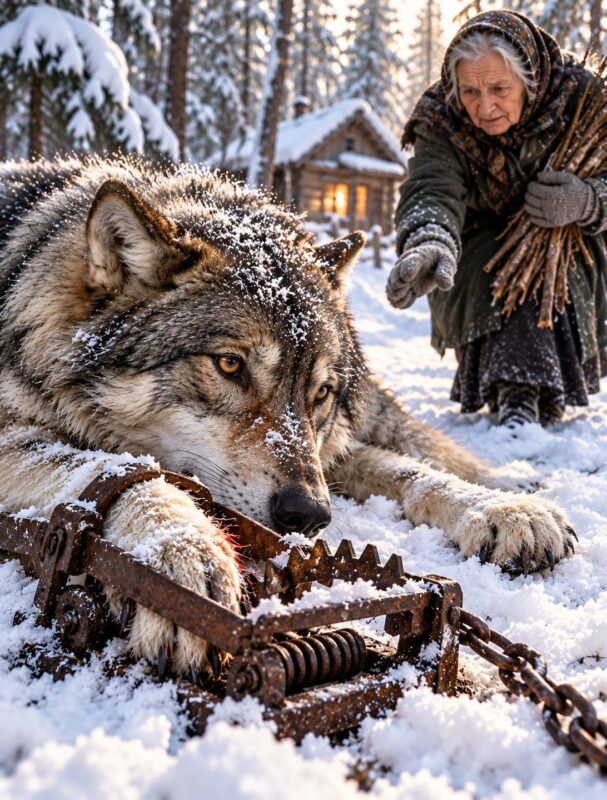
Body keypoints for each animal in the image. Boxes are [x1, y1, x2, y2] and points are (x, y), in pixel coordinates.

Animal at [0, 157, 575, 675]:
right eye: (230, 365)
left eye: (319, 393)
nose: (309, 515)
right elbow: (109, 468)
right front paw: (181, 554)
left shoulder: (328, 455)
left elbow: (405, 470)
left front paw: (498, 508)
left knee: (421, 443)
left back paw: (513, 492)